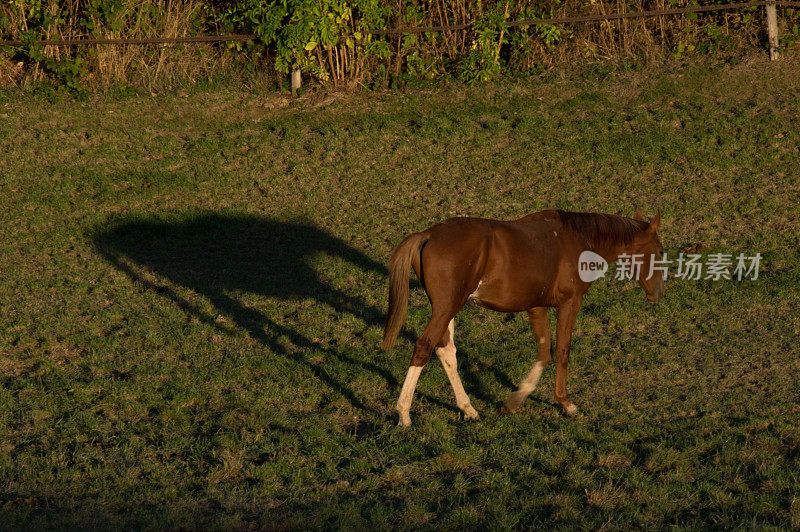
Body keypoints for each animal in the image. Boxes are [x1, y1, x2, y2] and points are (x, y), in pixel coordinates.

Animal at [382, 210, 664, 426]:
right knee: (424, 347)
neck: (577, 240)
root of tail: (428, 234)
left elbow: (544, 352)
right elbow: (562, 351)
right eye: (660, 251)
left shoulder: (536, 307)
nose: (659, 293)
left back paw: (468, 409)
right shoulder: (569, 304)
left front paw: (514, 399)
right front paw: (565, 403)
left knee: (446, 351)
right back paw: (404, 414)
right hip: (446, 307)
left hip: (449, 308)